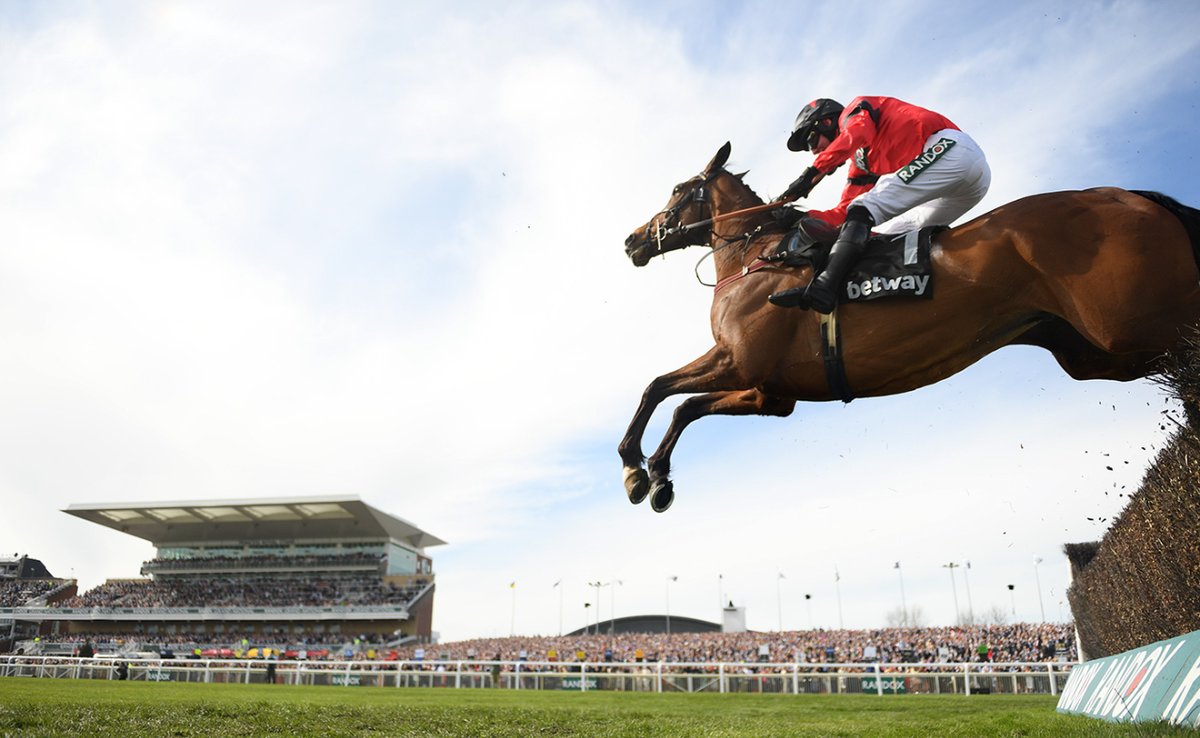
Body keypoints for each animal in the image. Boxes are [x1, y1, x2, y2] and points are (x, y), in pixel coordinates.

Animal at [624, 142, 1200, 513]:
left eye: (677, 189)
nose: (633, 240)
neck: (758, 253)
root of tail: (1133, 195)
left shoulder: (741, 361)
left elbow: (658, 388)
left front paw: (633, 466)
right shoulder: (769, 391)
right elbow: (683, 406)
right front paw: (656, 478)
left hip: (1137, 327)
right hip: (1099, 354)